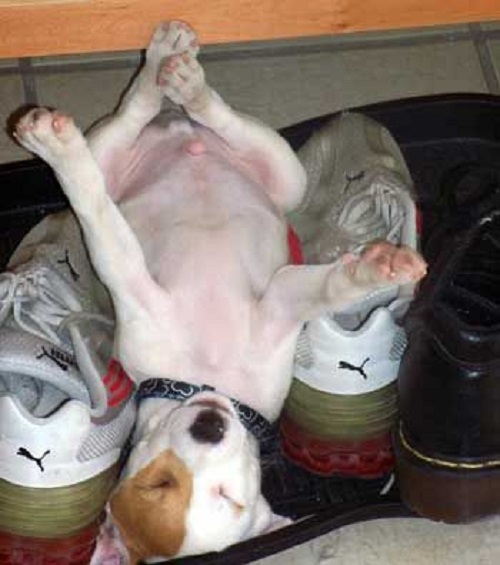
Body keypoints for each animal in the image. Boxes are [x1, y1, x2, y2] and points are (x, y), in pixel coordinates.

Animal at [13, 20, 426, 560]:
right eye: (159, 483)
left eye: (228, 496)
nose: (210, 425)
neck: (202, 376)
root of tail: (179, 131)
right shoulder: (141, 289)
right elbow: (95, 209)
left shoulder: (276, 304)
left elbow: (328, 287)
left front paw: (381, 267)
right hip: (131, 153)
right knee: (126, 122)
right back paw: (128, 96)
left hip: (283, 174)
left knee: (170, 112)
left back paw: (178, 77)